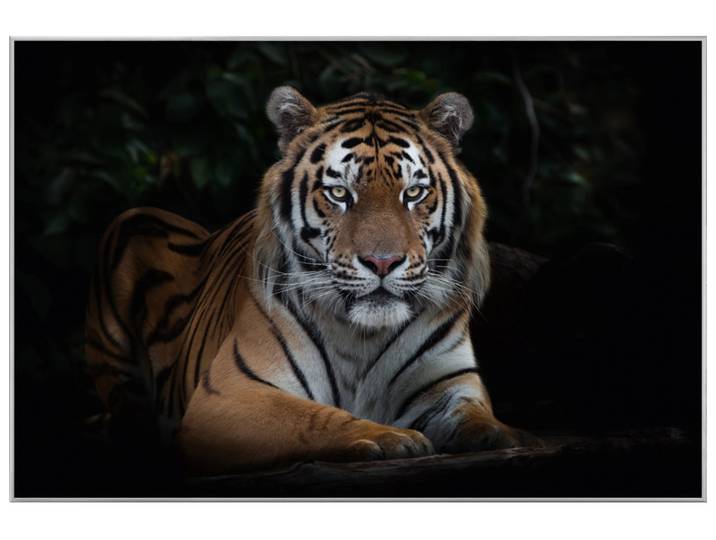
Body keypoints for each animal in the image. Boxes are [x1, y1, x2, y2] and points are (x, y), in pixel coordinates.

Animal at [85, 86, 538, 474]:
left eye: (413, 194)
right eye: (339, 194)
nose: (382, 262)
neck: (363, 336)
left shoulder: (451, 386)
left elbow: (479, 418)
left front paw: (509, 436)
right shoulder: (230, 394)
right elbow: (312, 417)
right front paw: (390, 437)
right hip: (133, 221)